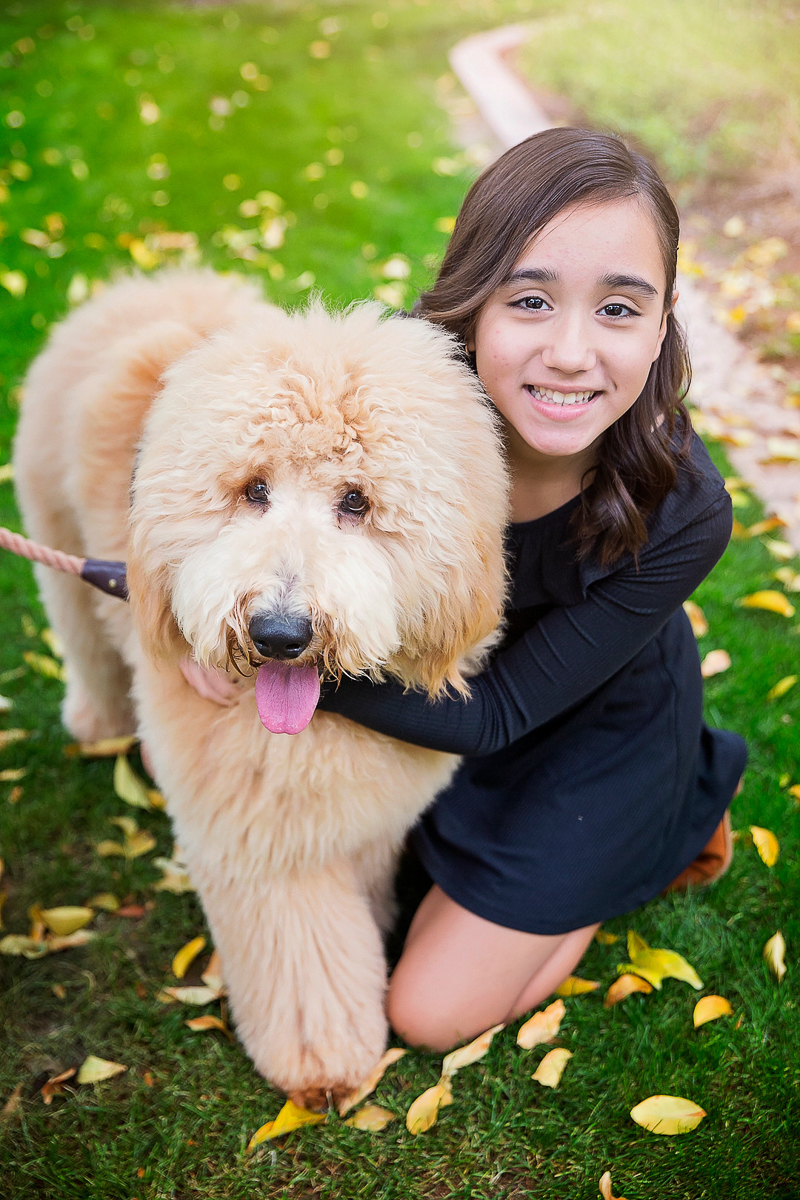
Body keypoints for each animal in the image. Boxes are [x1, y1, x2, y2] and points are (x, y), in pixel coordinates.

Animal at [12, 270, 506, 1104]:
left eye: (356, 500)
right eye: (252, 491)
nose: (279, 633)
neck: (315, 722)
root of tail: (137, 287)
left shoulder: (366, 813)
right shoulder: (265, 845)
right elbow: (305, 957)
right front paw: (325, 1063)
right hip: (60, 546)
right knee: (85, 643)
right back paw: (99, 722)